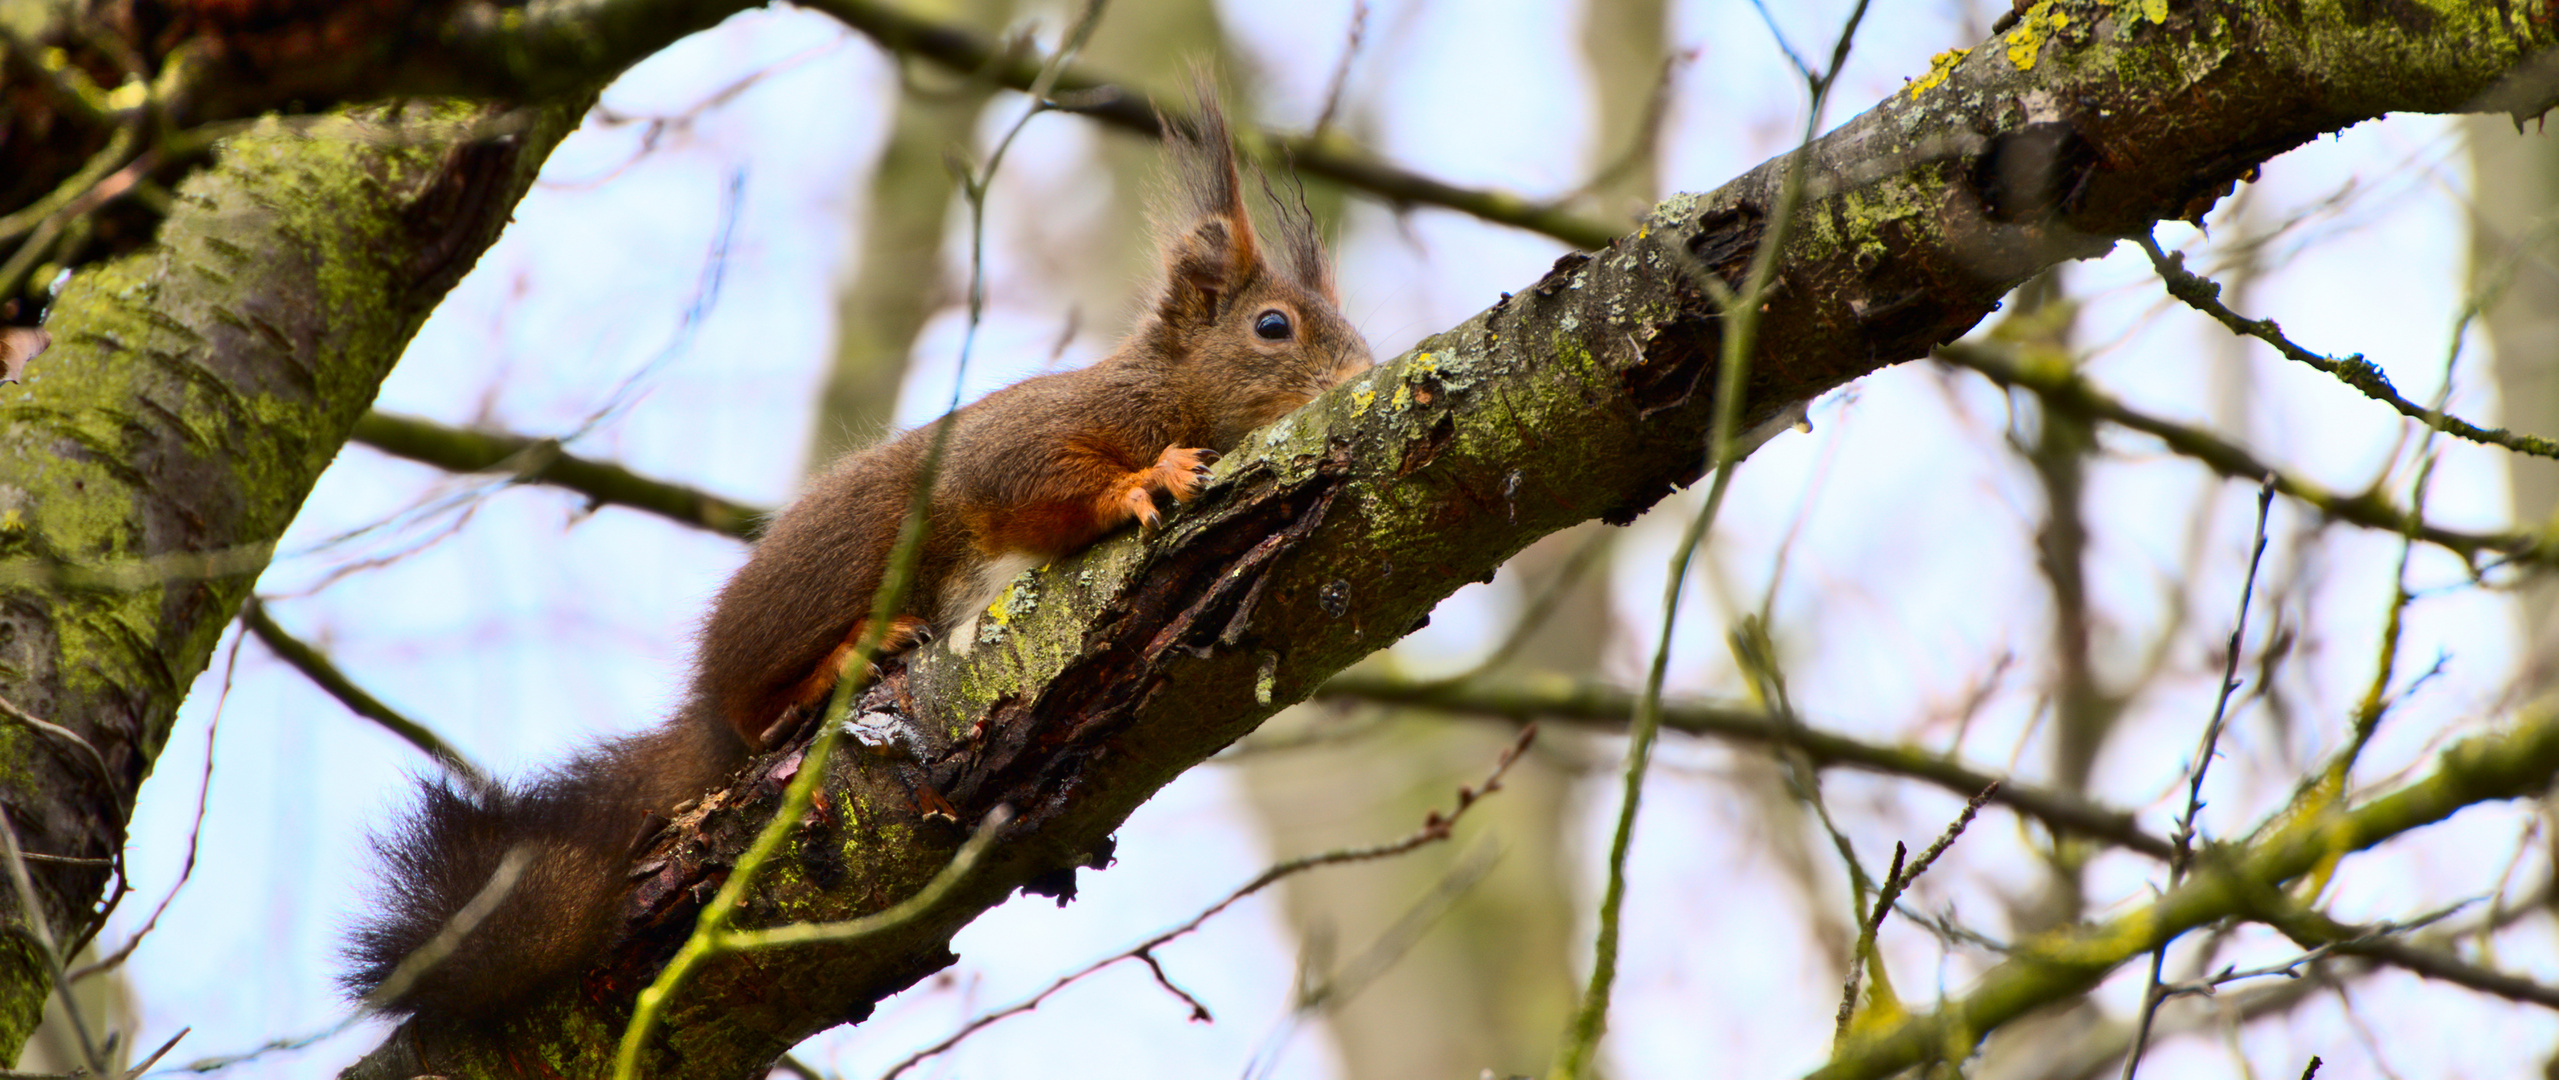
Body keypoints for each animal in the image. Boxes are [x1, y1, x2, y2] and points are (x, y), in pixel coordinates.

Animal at [355, 88, 1381, 1023]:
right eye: (1273, 326)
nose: (1359, 376)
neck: (1168, 387)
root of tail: (702, 708)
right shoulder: (1020, 445)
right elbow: (1030, 484)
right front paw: (1147, 480)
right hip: (855, 554)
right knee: (752, 709)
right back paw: (836, 664)